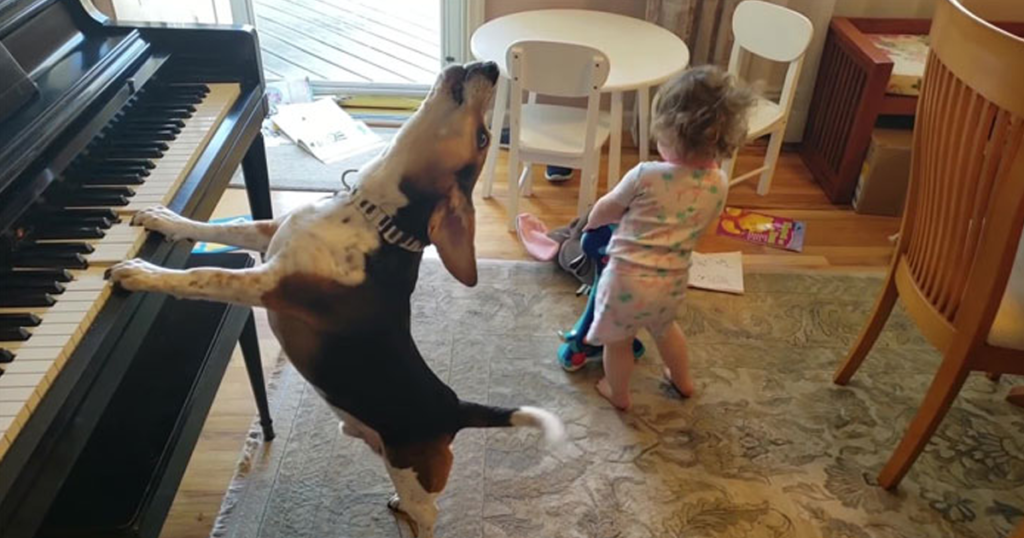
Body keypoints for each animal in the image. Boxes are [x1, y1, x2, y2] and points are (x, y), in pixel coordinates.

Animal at [110, 60, 569, 532]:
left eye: (482, 137)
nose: (493, 67)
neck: (372, 216)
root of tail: (453, 407)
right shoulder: (269, 233)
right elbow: (220, 229)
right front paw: (163, 218)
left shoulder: (267, 284)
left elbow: (204, 275)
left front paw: (140, 273)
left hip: (412, 471)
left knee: (429, 513)